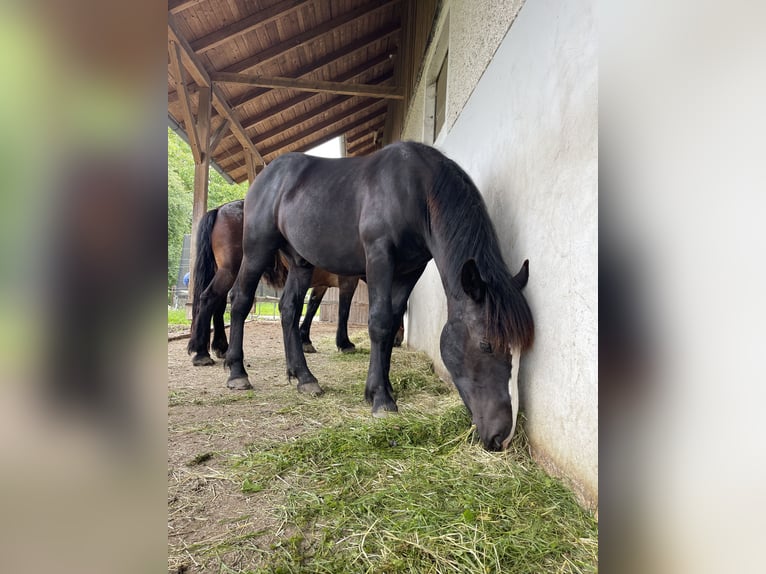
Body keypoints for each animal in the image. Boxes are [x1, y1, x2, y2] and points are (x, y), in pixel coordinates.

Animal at [188, 200, 402, 366]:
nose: (398, 340)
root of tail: (220, 209)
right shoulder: (348, 281)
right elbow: (344, 310)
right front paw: (345, 343)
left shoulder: (320, 285)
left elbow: (312, 308)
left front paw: (305, 339)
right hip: (229, 271)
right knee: (208, 299)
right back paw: (202, 354)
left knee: (218, 304)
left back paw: (220, 347)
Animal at [224, 142, 536, 452]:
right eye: (486, 344)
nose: (502, 436)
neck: (415, 190)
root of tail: (267, 174)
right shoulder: (379, 257)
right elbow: (380, 322)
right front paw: (381, 400)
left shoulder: (409, 270)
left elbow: (392, 323)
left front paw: (382, 388)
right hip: (257, 249)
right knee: (240, 300)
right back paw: (237, 372)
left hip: (300, 262)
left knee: (289, 308)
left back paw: (303, 377)